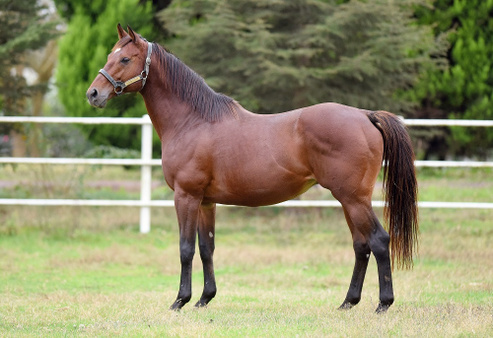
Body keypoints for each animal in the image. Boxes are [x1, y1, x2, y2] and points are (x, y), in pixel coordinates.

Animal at [86, 24, 418, 314]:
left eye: (125, 58)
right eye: (110, 55)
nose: (93, 94)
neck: (194, 121)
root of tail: (365, 115)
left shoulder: (186, 196)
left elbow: (185, 248)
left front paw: (180, 301)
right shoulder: (206, 201)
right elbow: (206, 247)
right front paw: (204, 299)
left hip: (353, 198)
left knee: (379, 241)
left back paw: (383, 304)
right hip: (350, 200)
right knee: (361, 245)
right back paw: (348, 302)